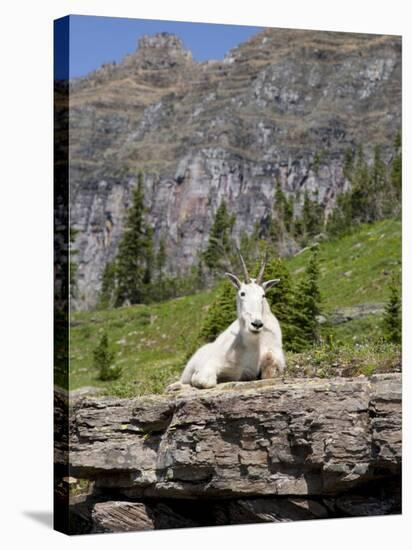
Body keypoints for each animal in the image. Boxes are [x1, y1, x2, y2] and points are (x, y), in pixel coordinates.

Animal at [169, 256, 284, 390]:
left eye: (263, 295)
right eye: (242, 293)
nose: (256, 324)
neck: (253, 342)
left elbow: (269, 370)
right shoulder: (213, 363)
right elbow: (204, 380)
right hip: (188, 369)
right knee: (183, 381)